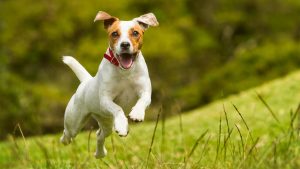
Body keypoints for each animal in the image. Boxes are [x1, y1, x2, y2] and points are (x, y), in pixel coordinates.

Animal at [59, 10, 158, 158]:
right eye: (115, 34)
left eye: (135, 33)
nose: (125, 44)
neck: (125, 72)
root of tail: (86, 81)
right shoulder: (105, 100)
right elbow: (118, 108)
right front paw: (122, 124)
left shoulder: (145, 92)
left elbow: (143, 101)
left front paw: (137, 114)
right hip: (74, 123)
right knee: (67, 134)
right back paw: (65, 141)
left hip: (106, 122)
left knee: (99, 135)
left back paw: (100, 153)